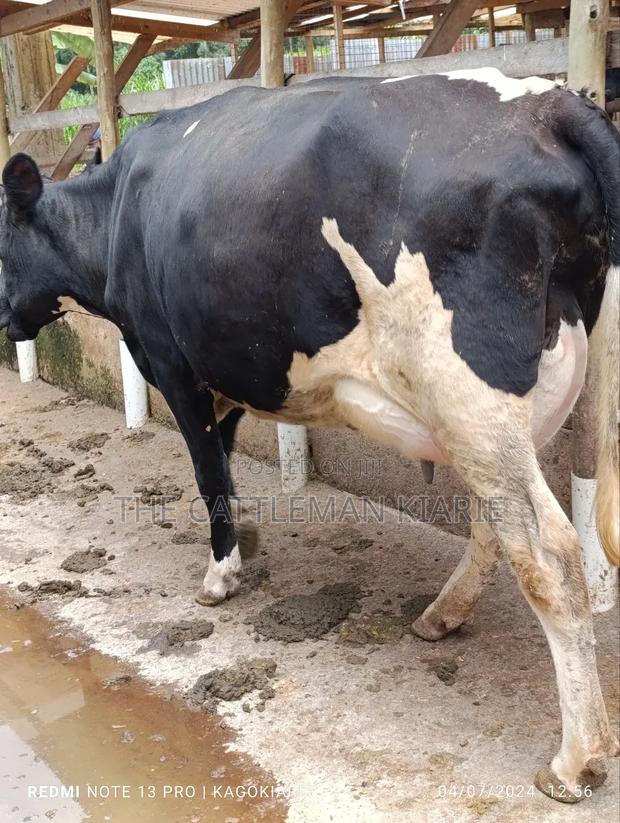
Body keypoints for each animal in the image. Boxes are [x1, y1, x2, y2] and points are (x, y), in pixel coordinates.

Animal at [0, 68, 618, 801]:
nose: (4, 320)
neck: (118, 207)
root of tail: (551, 103)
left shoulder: (174, 364)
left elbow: (208, 473)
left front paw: (220, 575)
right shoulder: (228, 375)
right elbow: (226, 466)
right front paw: (241, 546)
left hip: (468, 392)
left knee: (549, 552)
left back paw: (577, 759)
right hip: (507, 401)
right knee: (498, 525)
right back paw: (443, 614)